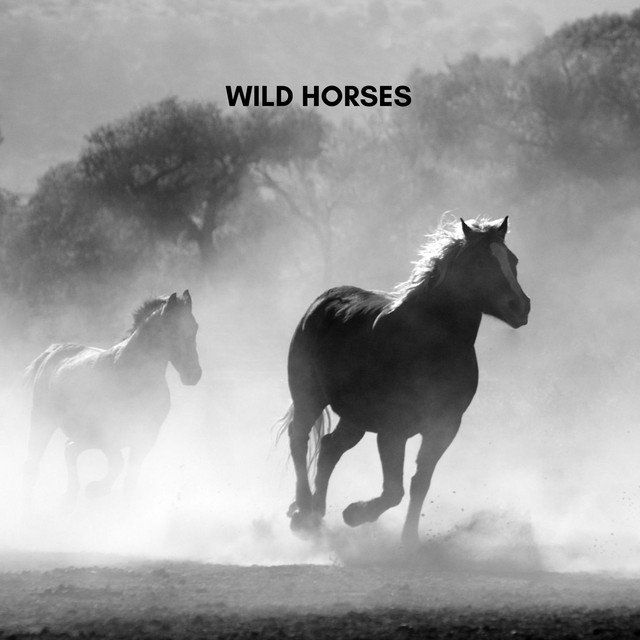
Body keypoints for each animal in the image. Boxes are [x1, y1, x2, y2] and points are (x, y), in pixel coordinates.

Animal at [23, 290, 201, 509]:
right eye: (173, 329)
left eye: (194, 327)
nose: (194, 375)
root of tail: (53, 352)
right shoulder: (108, 435)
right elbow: (118, 464)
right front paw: (95, 490)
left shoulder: (145, 438)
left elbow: (130, 480)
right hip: (43, 421)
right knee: (33, 464)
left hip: (83, 436)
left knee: (69, 449)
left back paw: (69, 498)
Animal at [281, 217, 530, 546]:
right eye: (479, 262)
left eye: (512, 260)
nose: (521, 306)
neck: (429, 344)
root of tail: (323, 301)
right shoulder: (392, 430)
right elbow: (393, 491)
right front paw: (355, 513)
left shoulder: (444, 427)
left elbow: (419, 483)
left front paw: (409, 540)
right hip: (308, 397)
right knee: (299, 440)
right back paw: (304, 512)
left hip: (355, 418)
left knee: (329, 447)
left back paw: (316, 513)